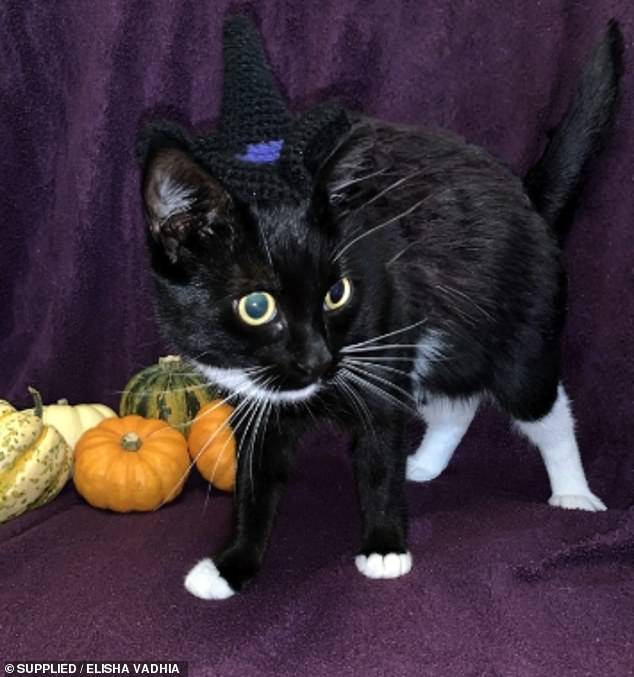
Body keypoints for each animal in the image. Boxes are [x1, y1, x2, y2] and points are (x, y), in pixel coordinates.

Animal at [136, 21, 620, 596]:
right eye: (256, 305)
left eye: (338, 292)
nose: (319, 361)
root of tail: (522, 194)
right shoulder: (252, 400)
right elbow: (256, 480)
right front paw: (231, 566)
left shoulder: (383, 331)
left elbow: (378, 453)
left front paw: (385, 546)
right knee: (454, 401)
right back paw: (427, 465)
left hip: (514, 318)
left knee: (540, 402)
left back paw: (573, 494)